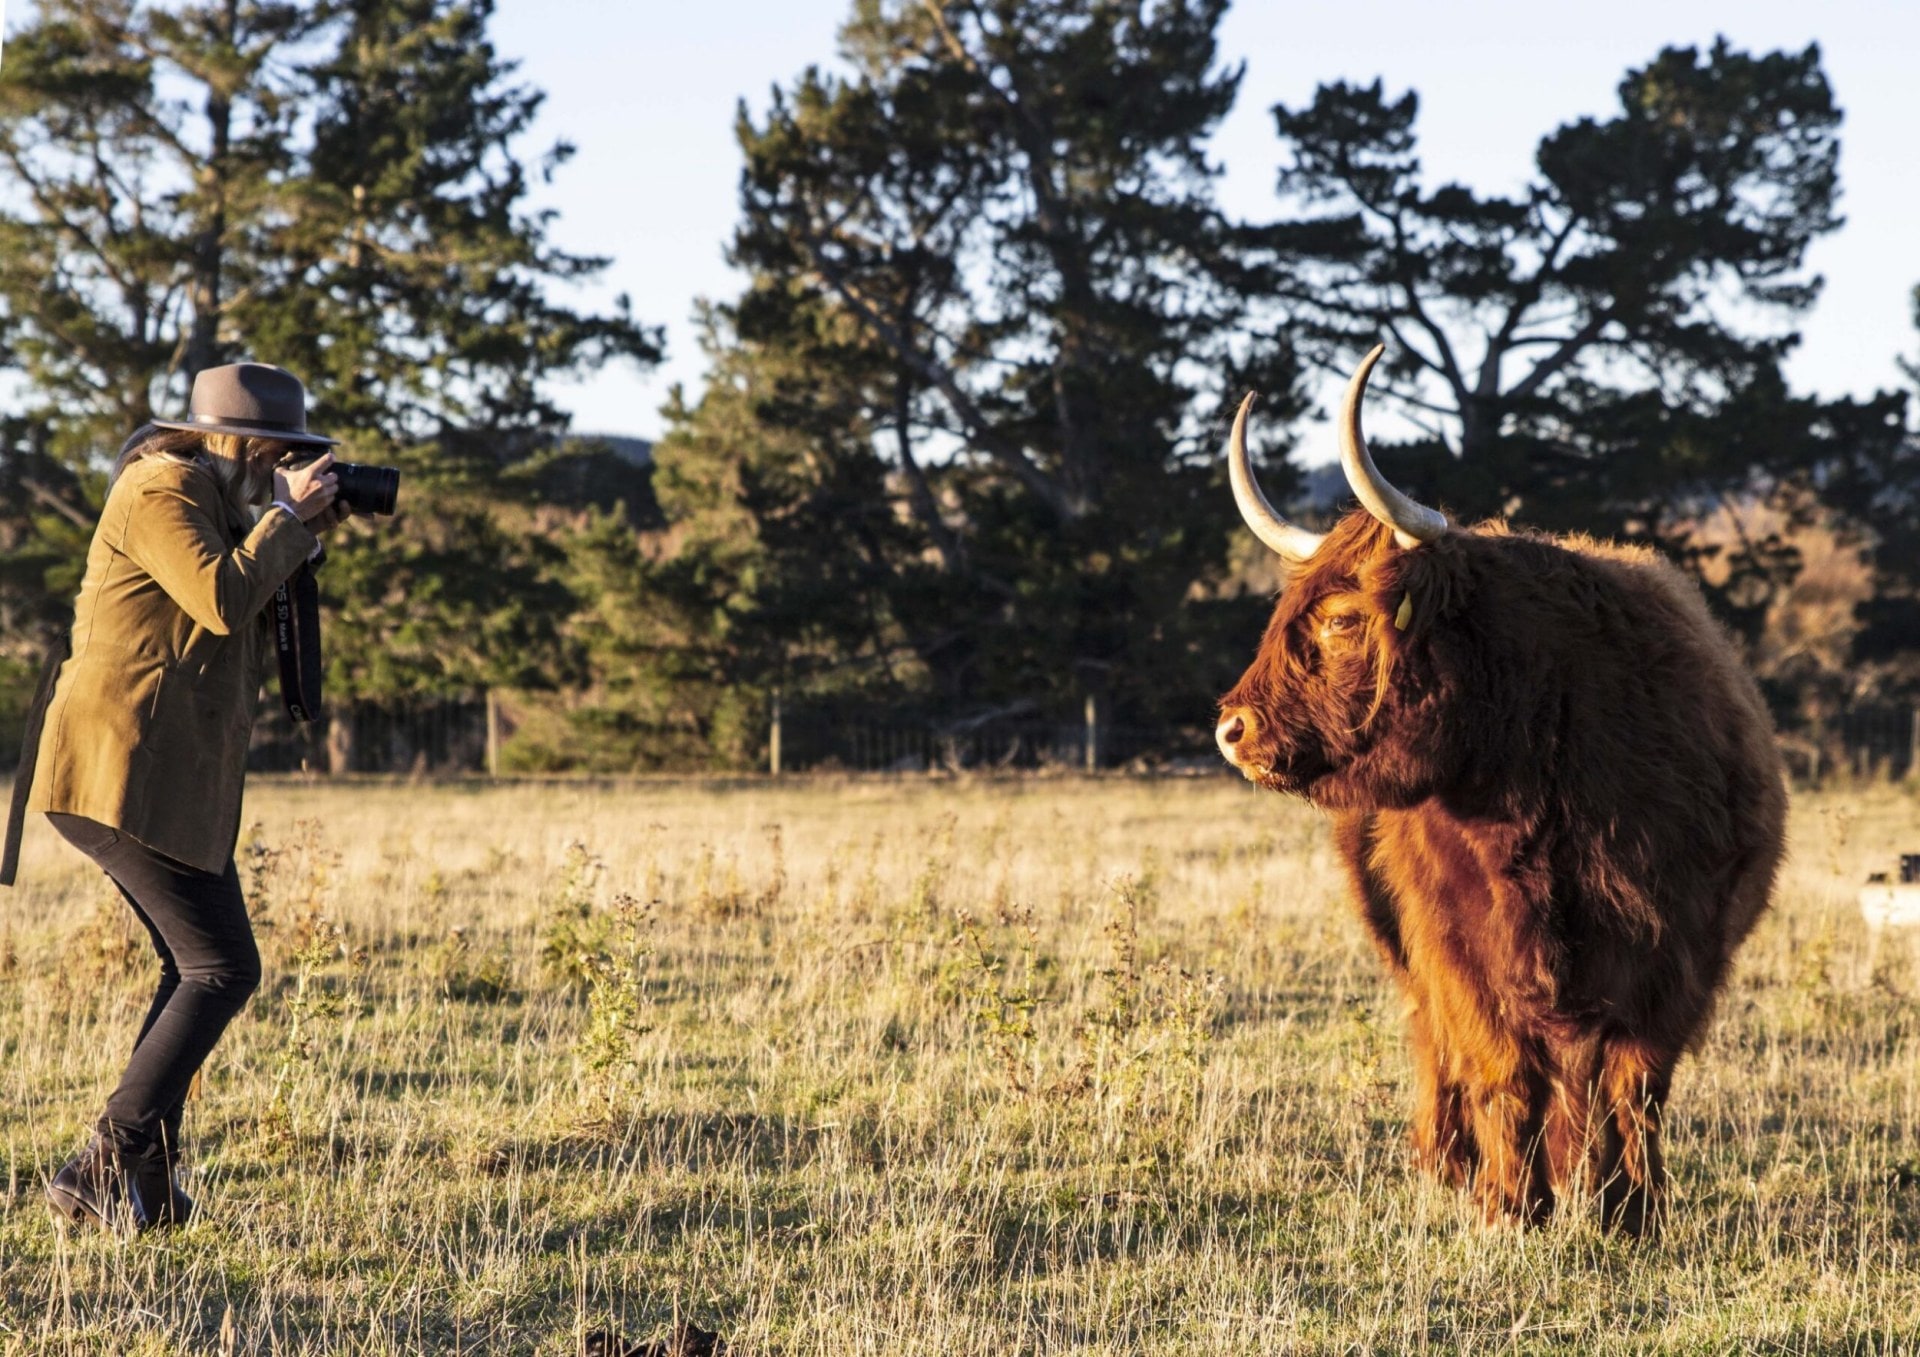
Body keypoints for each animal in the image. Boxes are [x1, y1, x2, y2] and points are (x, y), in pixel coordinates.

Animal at [1221, 347, 1789, 1228]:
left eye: (1344, 619)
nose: (1232, 728)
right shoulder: (1459, 946)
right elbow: (1503, 1071)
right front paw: (1511, 1204)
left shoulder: (1676, 950)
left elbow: (1636, 1083)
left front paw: (1634, 1212)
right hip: (1402, 939)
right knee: (1437, 1040)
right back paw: (1450, 1164)